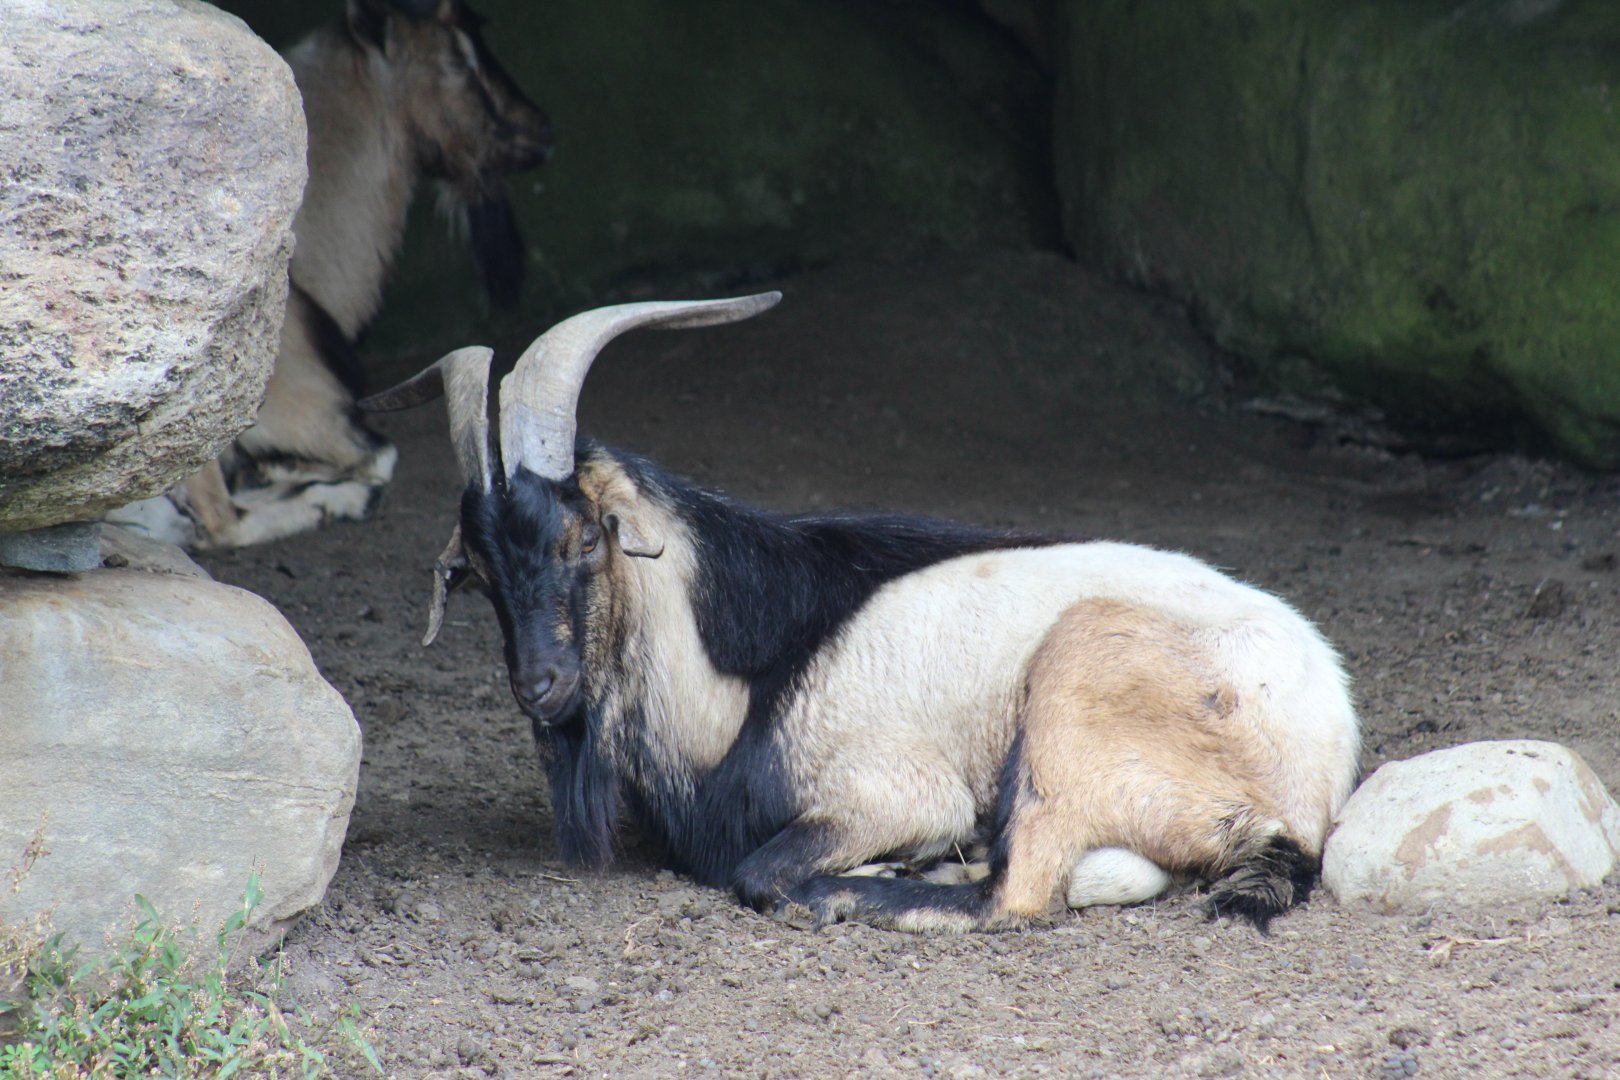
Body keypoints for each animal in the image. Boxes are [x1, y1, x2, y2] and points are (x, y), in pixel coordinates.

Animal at [363, 294, 1362, 932]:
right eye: (477, 572)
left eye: (582, 540)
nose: (540, 685)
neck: (746, 670)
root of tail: (1319, 763)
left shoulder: (890, 788)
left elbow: (758, 871)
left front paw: (859, 875)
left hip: (1079, 676)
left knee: (1018, 893)